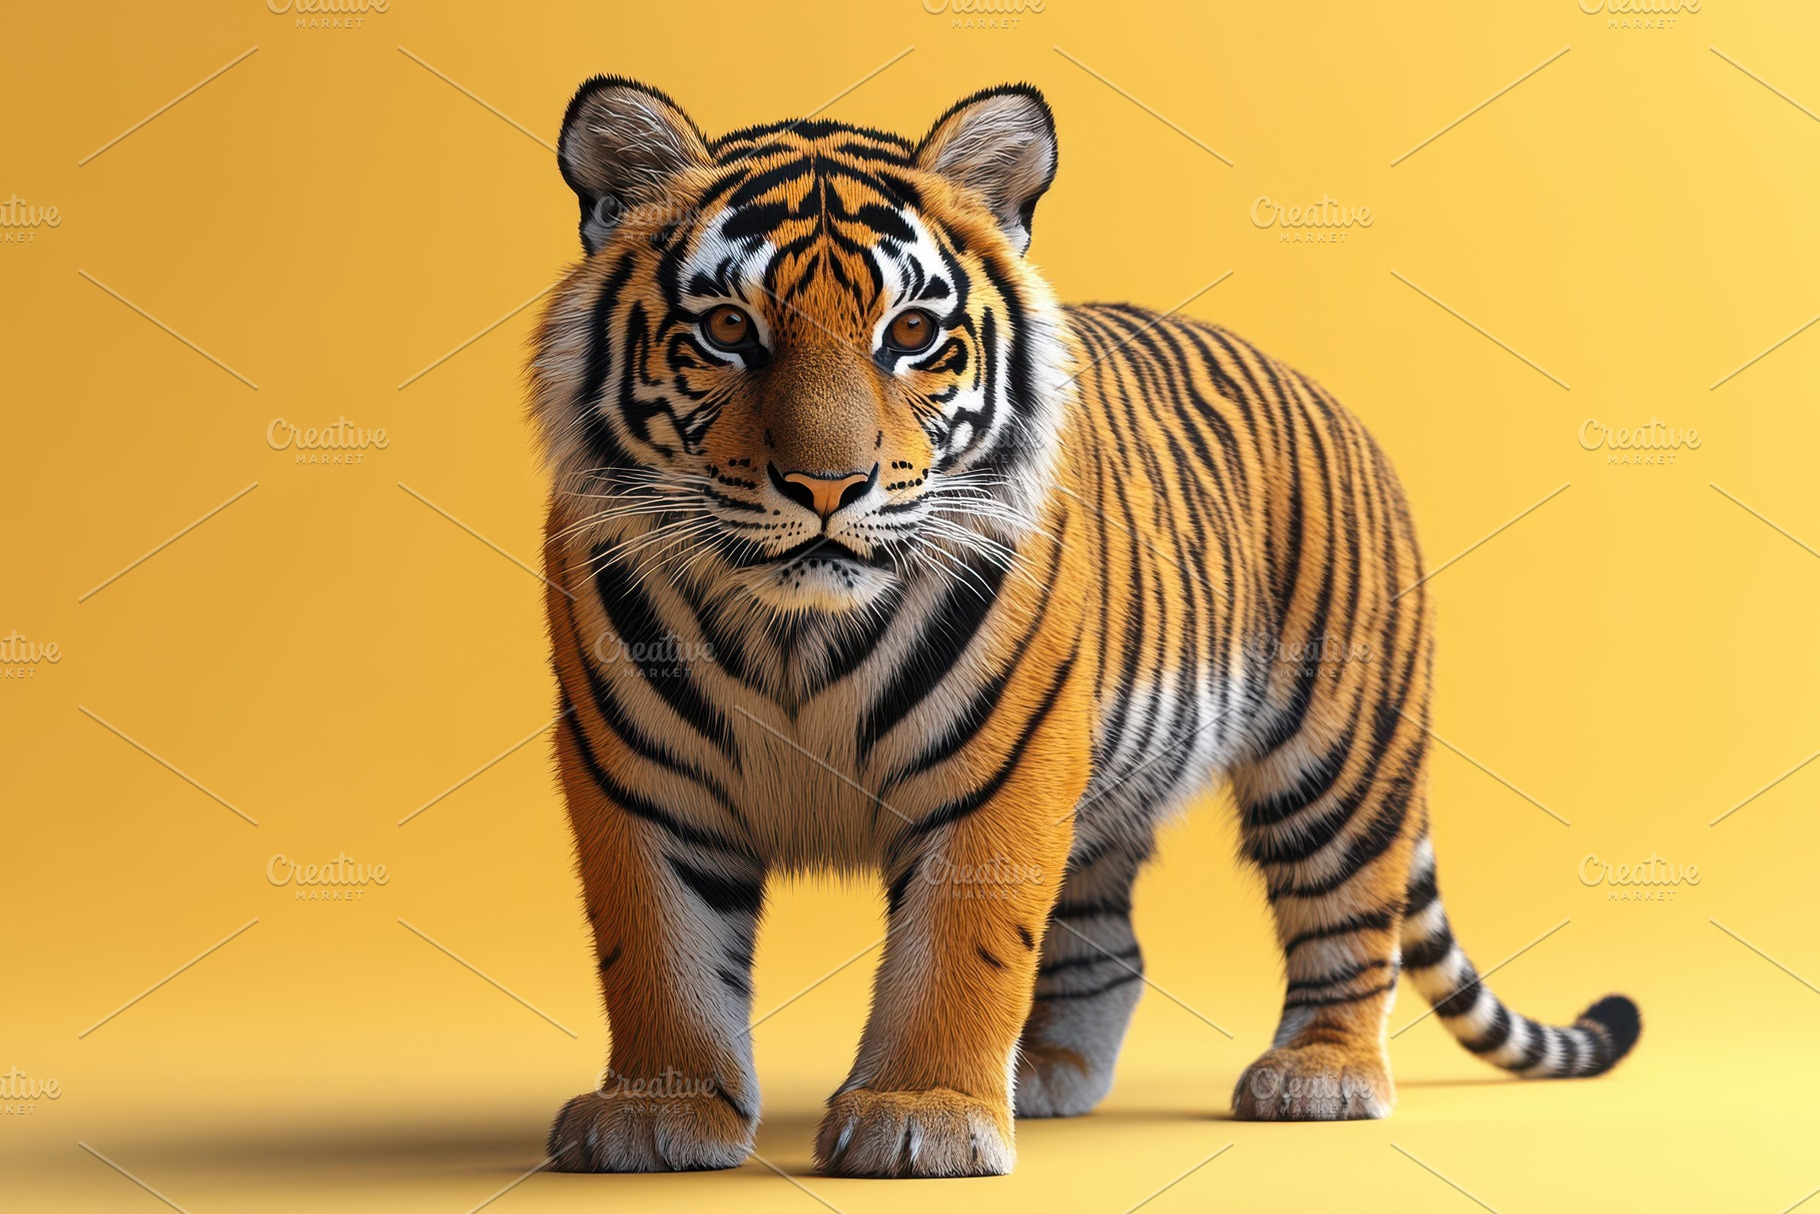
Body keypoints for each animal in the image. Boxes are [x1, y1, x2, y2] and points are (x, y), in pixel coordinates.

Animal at [527, 75, 1641, 1179]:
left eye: (910, 336)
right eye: (727, 330)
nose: (827, 486)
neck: (793, 628)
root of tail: (1320, 393)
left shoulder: (998, 770)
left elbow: (959, 951)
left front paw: (923, 1117)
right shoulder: (638, 775)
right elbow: (661, 953)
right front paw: (660, 1114)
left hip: (1336, 755)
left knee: (1349, 916)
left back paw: (1318, 1076)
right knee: (1112, 947)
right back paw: (1048, 1071)